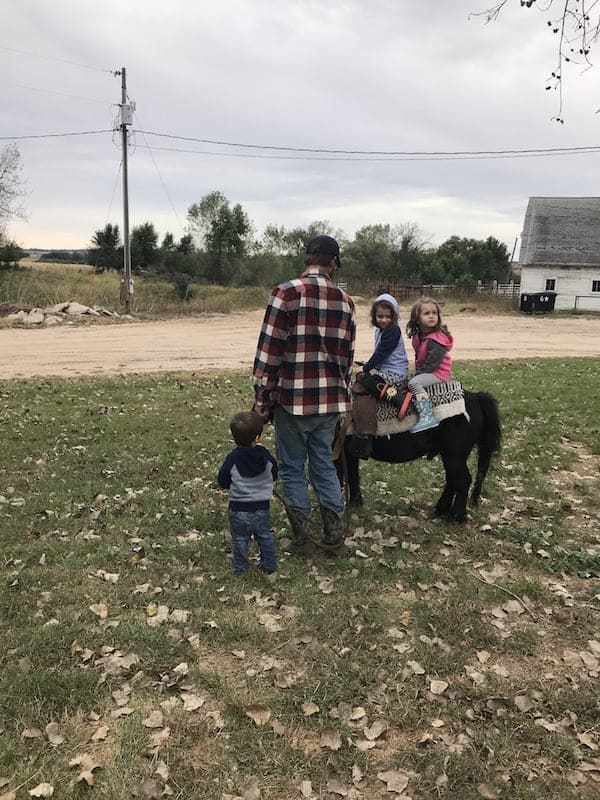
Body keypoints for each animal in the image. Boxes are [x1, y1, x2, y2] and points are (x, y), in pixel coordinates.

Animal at [338, 390, 502, 520]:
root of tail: (476, 397)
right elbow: (351, 477)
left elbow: (347, 478)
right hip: (451, 457)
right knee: (453, 480)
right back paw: (441, 510)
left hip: (454, 456)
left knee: (462, 480)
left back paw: (457, 516)